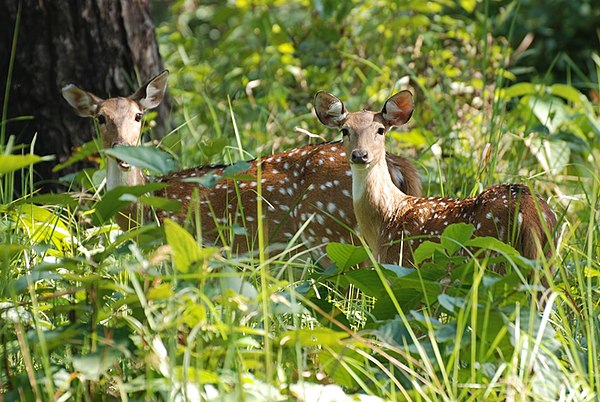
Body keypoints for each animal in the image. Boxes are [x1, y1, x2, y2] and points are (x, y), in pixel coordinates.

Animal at [61, 69, 422, 251]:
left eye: (138, 116)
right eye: (101, 118)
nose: (123, 150)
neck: (141, 212)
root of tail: (397, 164)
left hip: (334, 232)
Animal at [314, 89, 556, 266]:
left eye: (381, 130)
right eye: (345, 130)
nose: (360, 155)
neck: (387, 219)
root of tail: (531, 213)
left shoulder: (403, 266)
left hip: (495, 256)